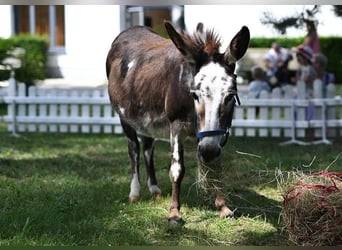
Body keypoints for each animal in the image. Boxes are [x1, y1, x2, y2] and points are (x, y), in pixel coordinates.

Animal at [105, 21, 250, 225]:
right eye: (195, 95)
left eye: (230, 96)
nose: (208, 151)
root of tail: (132, 29)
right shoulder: (176, 127)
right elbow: (177, 169)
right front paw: (174, 213)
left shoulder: (213, 136)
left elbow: (215, 168)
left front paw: (223, 206)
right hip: (125, 118)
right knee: (133, 150)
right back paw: (134, 193)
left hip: (148, 122)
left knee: (148, 149)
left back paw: (155, 190)